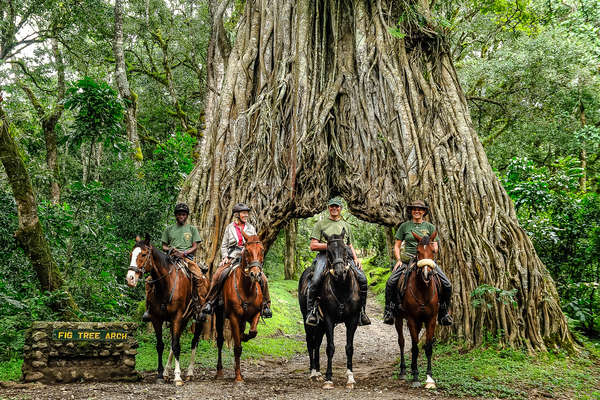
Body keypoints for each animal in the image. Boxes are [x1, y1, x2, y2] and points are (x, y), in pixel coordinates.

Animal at [126, 234, 209, 384]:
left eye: (143, 254)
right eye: (131, 254)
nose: (130, 278)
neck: (165, 285)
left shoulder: (176, 316)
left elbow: (177, 346)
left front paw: (177, 376)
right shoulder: (157, 318)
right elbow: (161, 345)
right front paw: (160, 374)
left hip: (198, 318)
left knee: (194, 342)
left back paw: (189, 372)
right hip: (183, 319)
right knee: (173, 342)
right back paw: (166, 371)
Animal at [214, 230, 264, 382]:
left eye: (262, 250)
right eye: (247, 251)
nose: (255, 274)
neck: (246, 288)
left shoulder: (256, 313)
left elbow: (252, 332)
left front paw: (246, 336)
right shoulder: (234, 317)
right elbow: (237, 347)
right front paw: (238, 377)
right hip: (219, 315)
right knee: (220, 340)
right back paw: (219, 372)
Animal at [298, 230, 360, 390]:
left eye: (345, 249)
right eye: (329, 252)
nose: (339, 272)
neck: (341, 288)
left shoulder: (352, 320)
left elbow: (349, 347)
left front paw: (350, 378)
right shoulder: (328, 319)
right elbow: (330, 348)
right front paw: (328, 379)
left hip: (320, 325)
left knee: (317, 343)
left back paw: (318, 372)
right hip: (308, 319)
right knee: (310, 342)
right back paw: (313, 372)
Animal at [396, 230, 438, 390]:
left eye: (433, 251)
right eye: (418, 252)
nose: (426, 274)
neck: (423, 290)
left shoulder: (431, 319)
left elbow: (428, 347)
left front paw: (429, 378)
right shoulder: (411, 319)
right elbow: (414, 347)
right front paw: (415, 376)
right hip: (398, 318)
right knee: (401, 341)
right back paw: (403, 371)